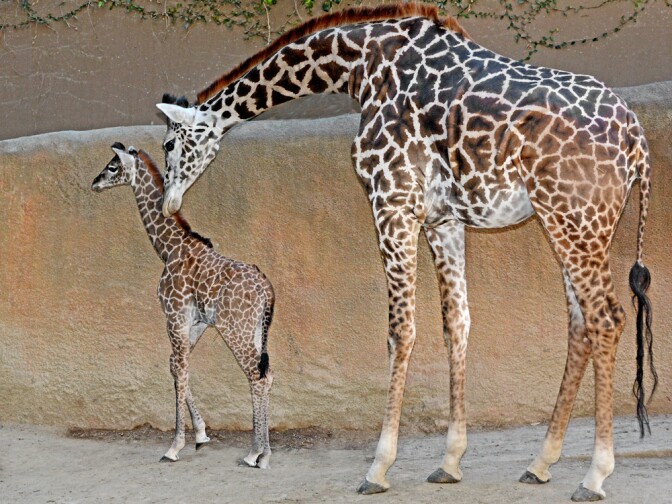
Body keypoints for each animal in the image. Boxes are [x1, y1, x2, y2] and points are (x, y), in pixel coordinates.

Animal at [91, 143, 275, 468]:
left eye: (113, 167)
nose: (94, 183)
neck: (168, 249)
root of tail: (267, 291)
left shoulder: (173, 314)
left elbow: (180, 368)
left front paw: (174, 446)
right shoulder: (195, 322)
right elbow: (176, 366)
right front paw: (200, 434)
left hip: (235, 329)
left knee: (256, 376)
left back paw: (257, 454)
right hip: (255, 330)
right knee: (268, 373)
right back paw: (262, 451)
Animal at [153, 4, 657, 500]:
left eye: (169, 142)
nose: (170, 203)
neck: (359, 67)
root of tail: (636, 140)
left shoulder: (391, 202)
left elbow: (400, 331)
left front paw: (379, 467)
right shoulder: (442, 220)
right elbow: (457, 323)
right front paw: (450, 462)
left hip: (572, 218)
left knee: (607, 318)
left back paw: (594, 475)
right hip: (574, 224)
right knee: (580, 324)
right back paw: (541, 463)